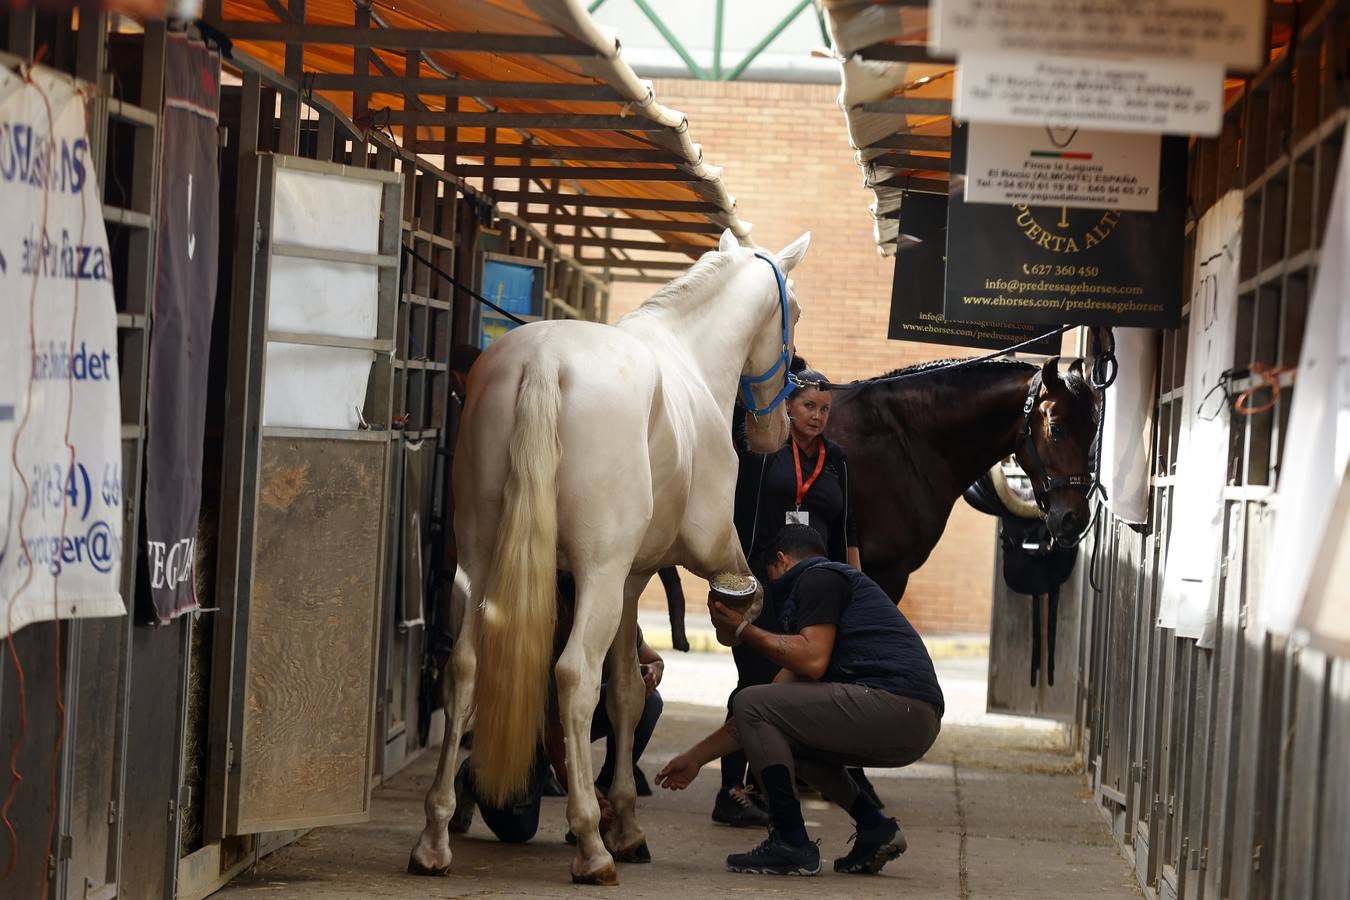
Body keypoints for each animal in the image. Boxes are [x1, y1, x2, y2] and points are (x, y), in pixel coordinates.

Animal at [408, 229, 812, 885]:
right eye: (794, 312)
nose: (774, 431)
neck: (689, 357)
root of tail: (545, 359)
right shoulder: (700, 555)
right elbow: (733, 608)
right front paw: (619, 828)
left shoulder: (630, 580)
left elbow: (626, 690)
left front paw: (625, 822)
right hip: (593, 574)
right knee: (573, 677)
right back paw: (590, 847)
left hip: (479, 564)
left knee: (465, 668)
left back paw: (435, 839)